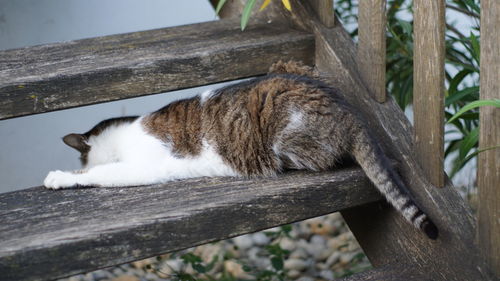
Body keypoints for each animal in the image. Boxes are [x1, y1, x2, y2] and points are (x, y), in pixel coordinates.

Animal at [45, 60, 440, 238]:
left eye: (80, 156)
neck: (125, 133)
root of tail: (347, 109)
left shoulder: (140, 167)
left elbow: (100, 173)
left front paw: (60, 176)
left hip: (284, 131)